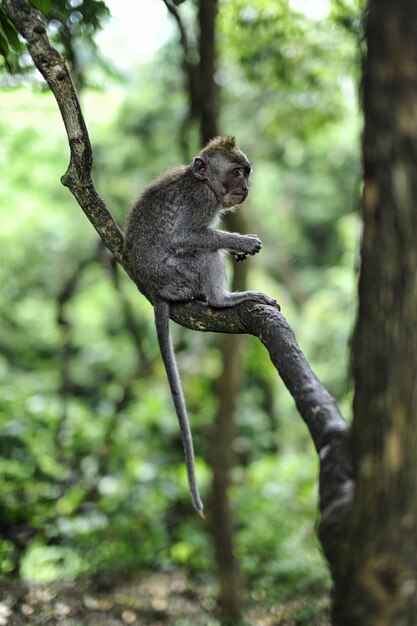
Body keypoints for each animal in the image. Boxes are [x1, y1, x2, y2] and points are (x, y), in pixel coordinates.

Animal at [123, 136, 276, 516]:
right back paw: (223, 299)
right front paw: (240, 242)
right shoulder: (200, 201)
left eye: (246, 172)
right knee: (203, 252)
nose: (245, 188)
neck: (203, 181)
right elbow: (186, 237)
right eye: (235, 173)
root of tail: (156, 291)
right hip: (180, 276)